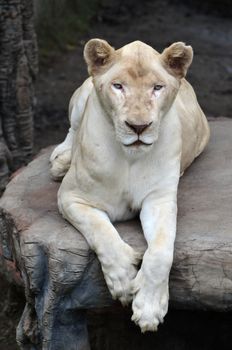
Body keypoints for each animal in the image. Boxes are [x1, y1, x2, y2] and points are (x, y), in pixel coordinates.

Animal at [49, 39, 209, 332]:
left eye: (157, 87)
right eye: (118, 86)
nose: (138, 127)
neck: (129, 159)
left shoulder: (159, 200)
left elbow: (161, 252)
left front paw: (149, 308)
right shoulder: (71, 197)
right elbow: (101, 231)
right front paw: (123, 280)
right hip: (81, 98)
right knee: (72, 129)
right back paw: (61, 161)